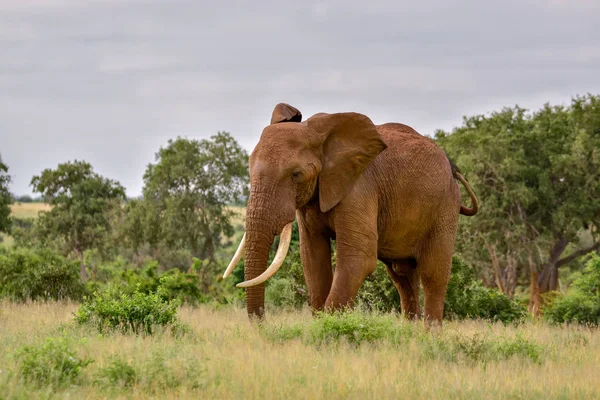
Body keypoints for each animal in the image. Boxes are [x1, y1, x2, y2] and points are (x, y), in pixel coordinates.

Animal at [223, 102, 480, 324]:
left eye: (296, 174)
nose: (263, 325)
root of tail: (452, 168)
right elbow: (313, 258)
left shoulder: (359, 188)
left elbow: (358, 259)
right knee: (402, 277)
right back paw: (412, 334)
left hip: (445, 207)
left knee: (433, 274)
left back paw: (429, 337)